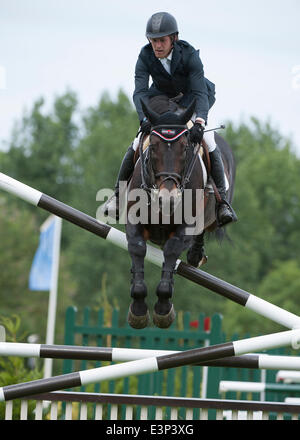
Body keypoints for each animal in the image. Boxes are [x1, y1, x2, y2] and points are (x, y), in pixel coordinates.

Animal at [124, 97, 237, 330]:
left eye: (185, 148)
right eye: (153, 147)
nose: (168, 198)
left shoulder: (184, 228)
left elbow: (172, 250)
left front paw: (163, 310)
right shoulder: (134, 223)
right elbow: (138, 249)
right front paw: (138, 311)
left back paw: (196, 254)